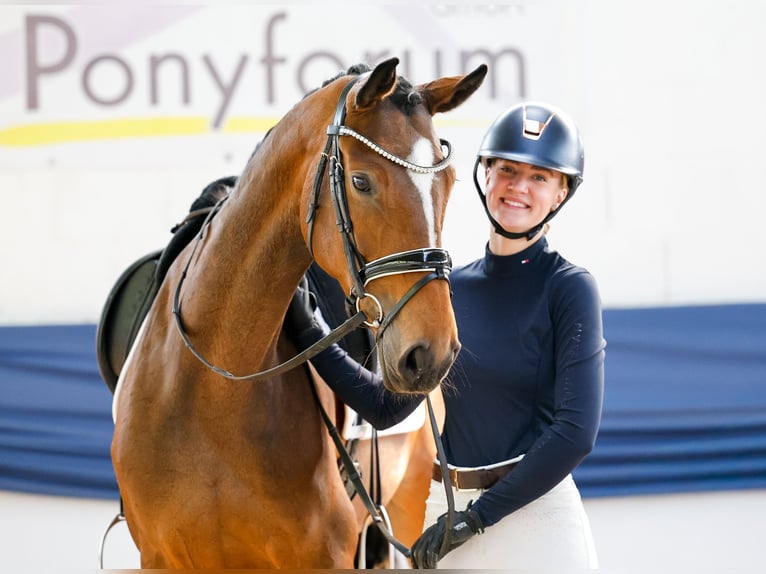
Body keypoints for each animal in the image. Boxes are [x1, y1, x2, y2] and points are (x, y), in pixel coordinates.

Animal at [111, 57, 486, 568]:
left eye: (447, 184)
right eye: (361, 181)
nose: (432, 353)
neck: (212, 386)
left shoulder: (324, 556)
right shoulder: (161, 558)